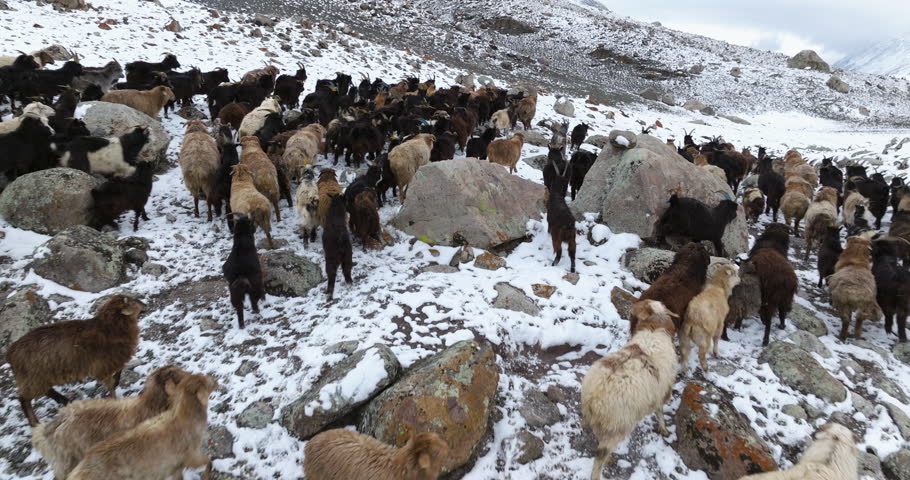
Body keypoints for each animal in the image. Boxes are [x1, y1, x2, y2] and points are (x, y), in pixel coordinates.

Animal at [6, 295, 144, 427]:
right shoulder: (102, 367)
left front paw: (116, 384)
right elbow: (111, 384)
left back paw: (64, 401)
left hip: (38, 379)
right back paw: (34, 422)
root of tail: (10, 352)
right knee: (24, 400)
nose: (144, 304)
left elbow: (118, 373)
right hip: (32, 380)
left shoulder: (111, 362)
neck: (110, 328)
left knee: (46, 392)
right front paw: (114, 399)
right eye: (133, 302)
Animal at [66, 373, 217, 480]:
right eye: (205, 381)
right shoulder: (190, 456)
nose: (214, 379)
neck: (184, 417)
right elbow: (208, 461)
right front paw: (207, 475)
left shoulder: (175, 466)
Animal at [581, 299, 678, 480]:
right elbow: (660, 411)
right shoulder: (662, 391)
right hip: (617, 426)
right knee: (599, 458)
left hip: (599, 421)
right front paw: (663, 428)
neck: (654, 331)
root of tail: (595, 395)